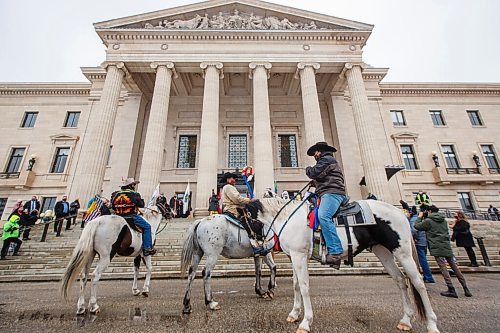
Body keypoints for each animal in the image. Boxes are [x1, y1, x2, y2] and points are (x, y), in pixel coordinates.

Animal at [245, 197, 438, 332]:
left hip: (403, 252)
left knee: (418, 283)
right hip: (382, 251)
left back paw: (431, 324)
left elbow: (305, 286)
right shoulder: (294, 256)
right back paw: (405, 320)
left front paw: (306, 322)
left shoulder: (299, 255)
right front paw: (294, 313)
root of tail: (401, 213)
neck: (288, 218)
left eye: (247, 221)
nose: (256, 247)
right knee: (400, 280)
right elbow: (296, 285)